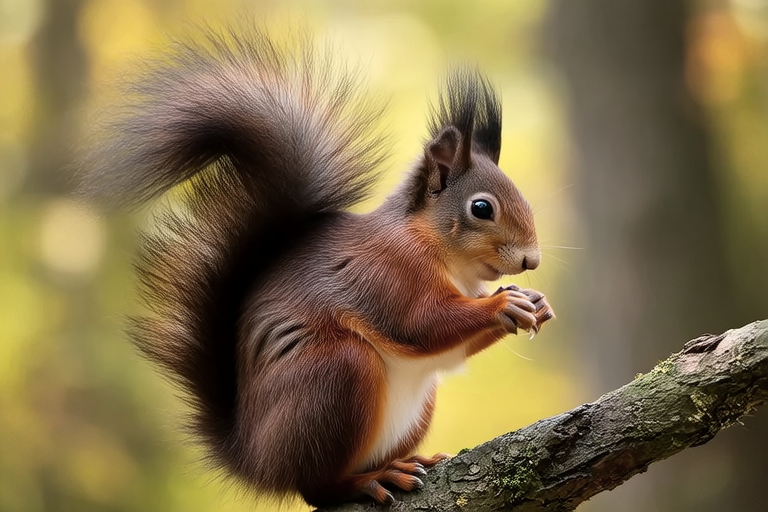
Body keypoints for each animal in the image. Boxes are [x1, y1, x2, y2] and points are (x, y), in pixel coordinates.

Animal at [78, 27, 554, 507]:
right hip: (335, 375)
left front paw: (535, 302)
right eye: (481, 208)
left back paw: (403, 462)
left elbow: (451, 347)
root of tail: (254, 460)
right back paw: (371, 479)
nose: (531, 260)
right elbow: (420, 324)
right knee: (317, 487)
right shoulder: (386, 271)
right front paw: (503, 306)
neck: (440, 252)